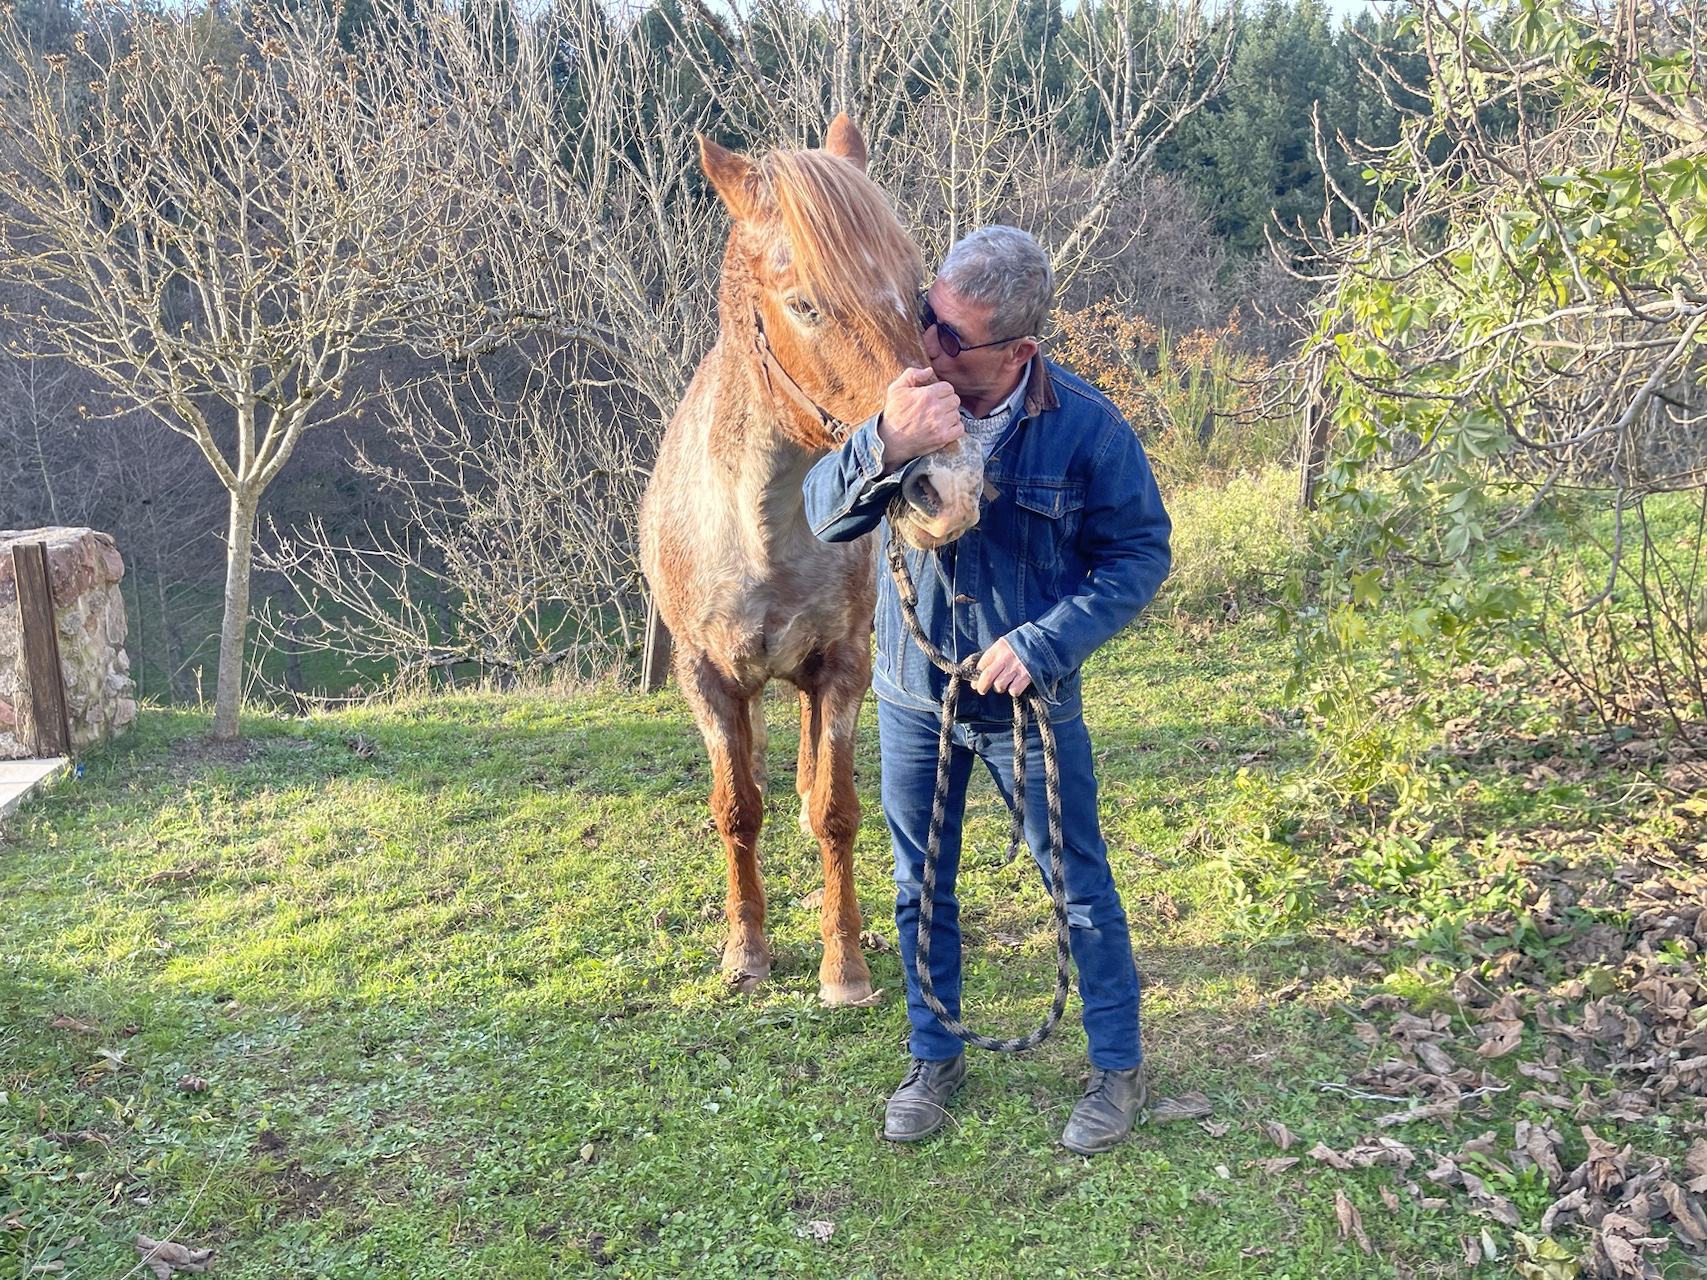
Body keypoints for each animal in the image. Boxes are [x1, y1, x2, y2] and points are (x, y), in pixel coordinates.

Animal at [639, 115, 982, 1006]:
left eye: (915, 293)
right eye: (804, 305)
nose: (950, 485)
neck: (760, 533)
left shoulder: (842, 666)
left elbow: (836, 810)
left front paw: (844, 967)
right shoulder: (706, 678)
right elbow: (734, 810)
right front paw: (746, 951)